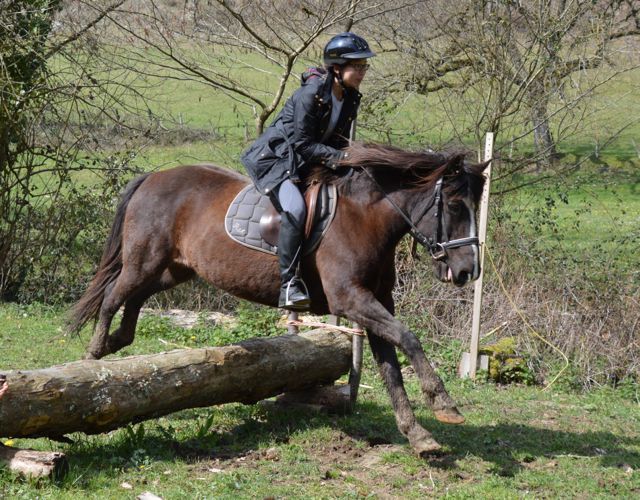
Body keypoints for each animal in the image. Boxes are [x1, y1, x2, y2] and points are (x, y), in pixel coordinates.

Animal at [69, 142, 488, 456]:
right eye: (455, 205)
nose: (468, 272)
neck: (365, 219)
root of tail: (153, 177)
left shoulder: (377, 303)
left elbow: (391, 365)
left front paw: (418, 435)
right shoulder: (350, 300)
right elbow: (409, 339)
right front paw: (444, 403)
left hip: (174, 268)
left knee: (135, 299)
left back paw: (116, 342)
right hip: (145, 261)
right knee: (112, 296)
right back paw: (93, 359)